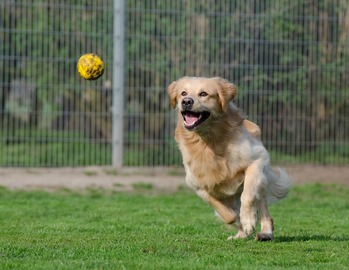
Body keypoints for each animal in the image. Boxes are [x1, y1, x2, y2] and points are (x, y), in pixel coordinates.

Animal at [167, 76, 290, 240]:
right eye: (183, 93)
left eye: (203, 94)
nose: (186, 101)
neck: (208, 141)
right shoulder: (199, 186)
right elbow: (228, 215)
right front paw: (241, 223)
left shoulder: (257, 160)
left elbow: (248, 195)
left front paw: (248, 220)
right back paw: (240, 234)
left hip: (262, 180)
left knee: (263, 206)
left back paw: (265, 232)